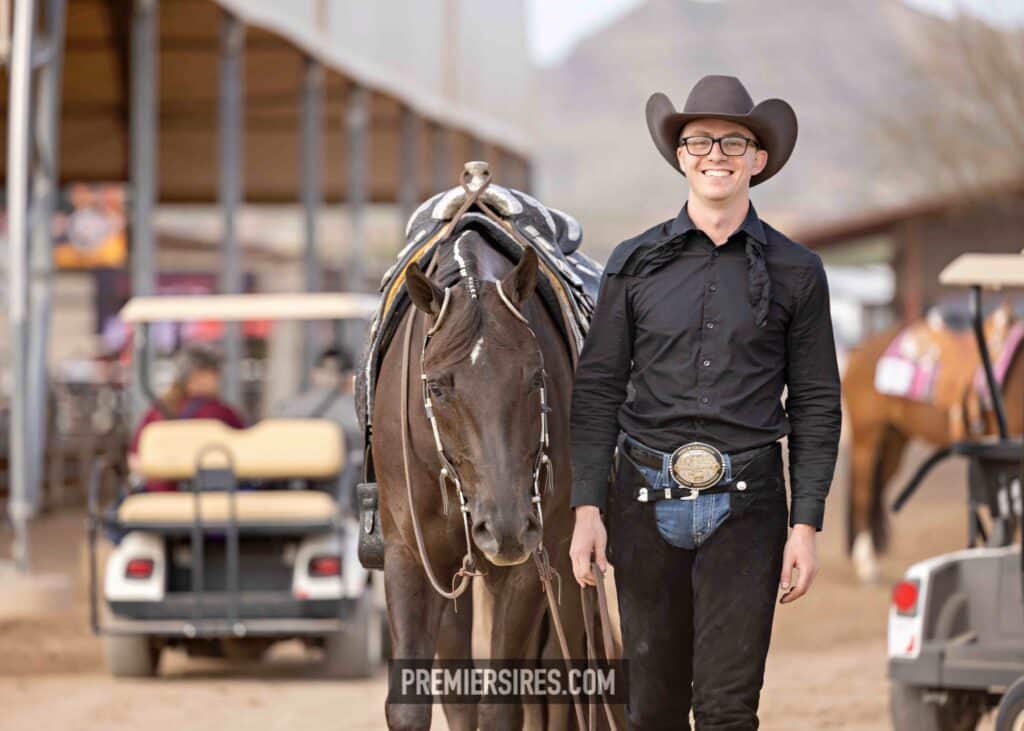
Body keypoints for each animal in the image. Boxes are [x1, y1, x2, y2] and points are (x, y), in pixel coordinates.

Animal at [371, 231, 602, 730]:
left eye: (536, 376)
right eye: (437, 387)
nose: (505, 528)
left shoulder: (535, 562)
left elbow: (504, 705)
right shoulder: (411, 556)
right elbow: (412, 707)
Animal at [843, 301, 1024, 582]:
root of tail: (859, 350)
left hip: (893, 442)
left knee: (877, 490)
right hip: (867, 437)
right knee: (863, 494)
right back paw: (866, 564)